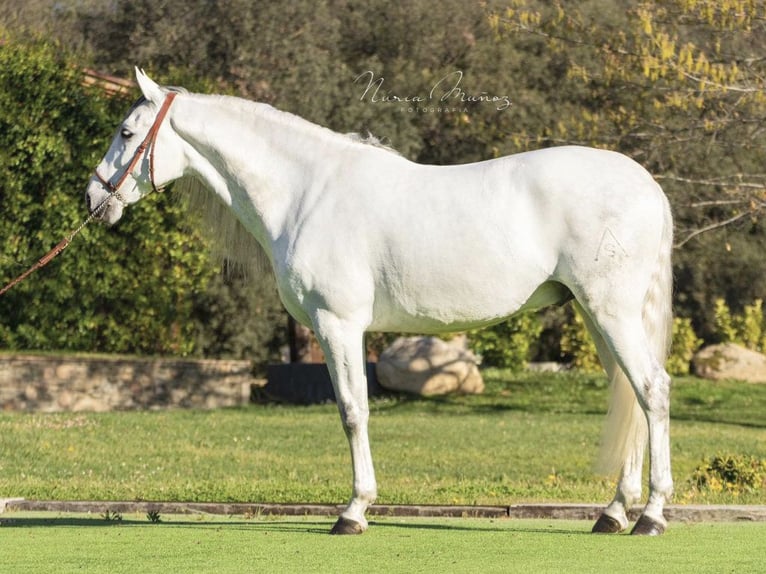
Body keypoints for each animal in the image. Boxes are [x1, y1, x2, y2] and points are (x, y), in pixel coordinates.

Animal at [85, 69, 674, 536]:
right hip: (595, 315)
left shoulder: (338, 325)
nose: (93, 198)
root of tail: (647, 186)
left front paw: (353, 512)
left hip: (611, 312)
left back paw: (650, 516)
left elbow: (353, 411)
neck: (306, 191)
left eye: (126, 132)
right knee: (629, 394)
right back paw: (613, 513)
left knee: (652, 390)